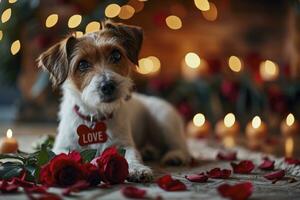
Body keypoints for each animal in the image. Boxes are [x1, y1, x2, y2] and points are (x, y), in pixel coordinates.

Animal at [37, 21, 190, 182]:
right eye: (82, 64)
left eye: (116, 55)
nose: (108, 86)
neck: (95, 116)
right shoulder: (63, 147)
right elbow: (62, 156)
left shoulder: (124, 145)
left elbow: (131, 156)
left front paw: (137, 169)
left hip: (165, 119)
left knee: (181, 146)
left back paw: (176, 156)